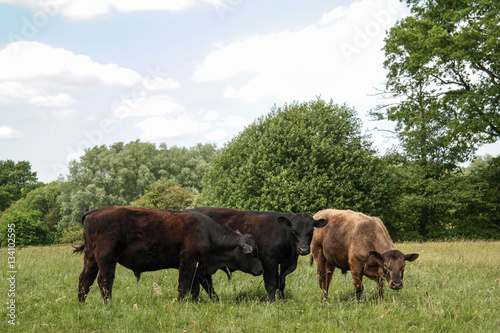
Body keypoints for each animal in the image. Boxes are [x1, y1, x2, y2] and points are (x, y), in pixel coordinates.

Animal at [76, 206, 264, 302]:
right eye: (252, 254)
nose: (262, 269)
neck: (208, 233)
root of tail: (93, 212)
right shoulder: (188, 263)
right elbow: (184, 286)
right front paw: (181, 302)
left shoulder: (200, 269)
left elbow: (201, 288)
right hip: (107, 259)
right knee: (104, 280)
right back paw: (109, 303)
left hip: (91, 258)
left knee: (85, 279)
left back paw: (81, 302)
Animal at [188, 206, 328, 300]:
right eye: (293, 231)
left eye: (311, 231)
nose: (303, 249)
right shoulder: (269, 261)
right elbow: (271, 284)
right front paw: (272, 302)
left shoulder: (284, 264)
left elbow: (281, 283)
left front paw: (282, 299)